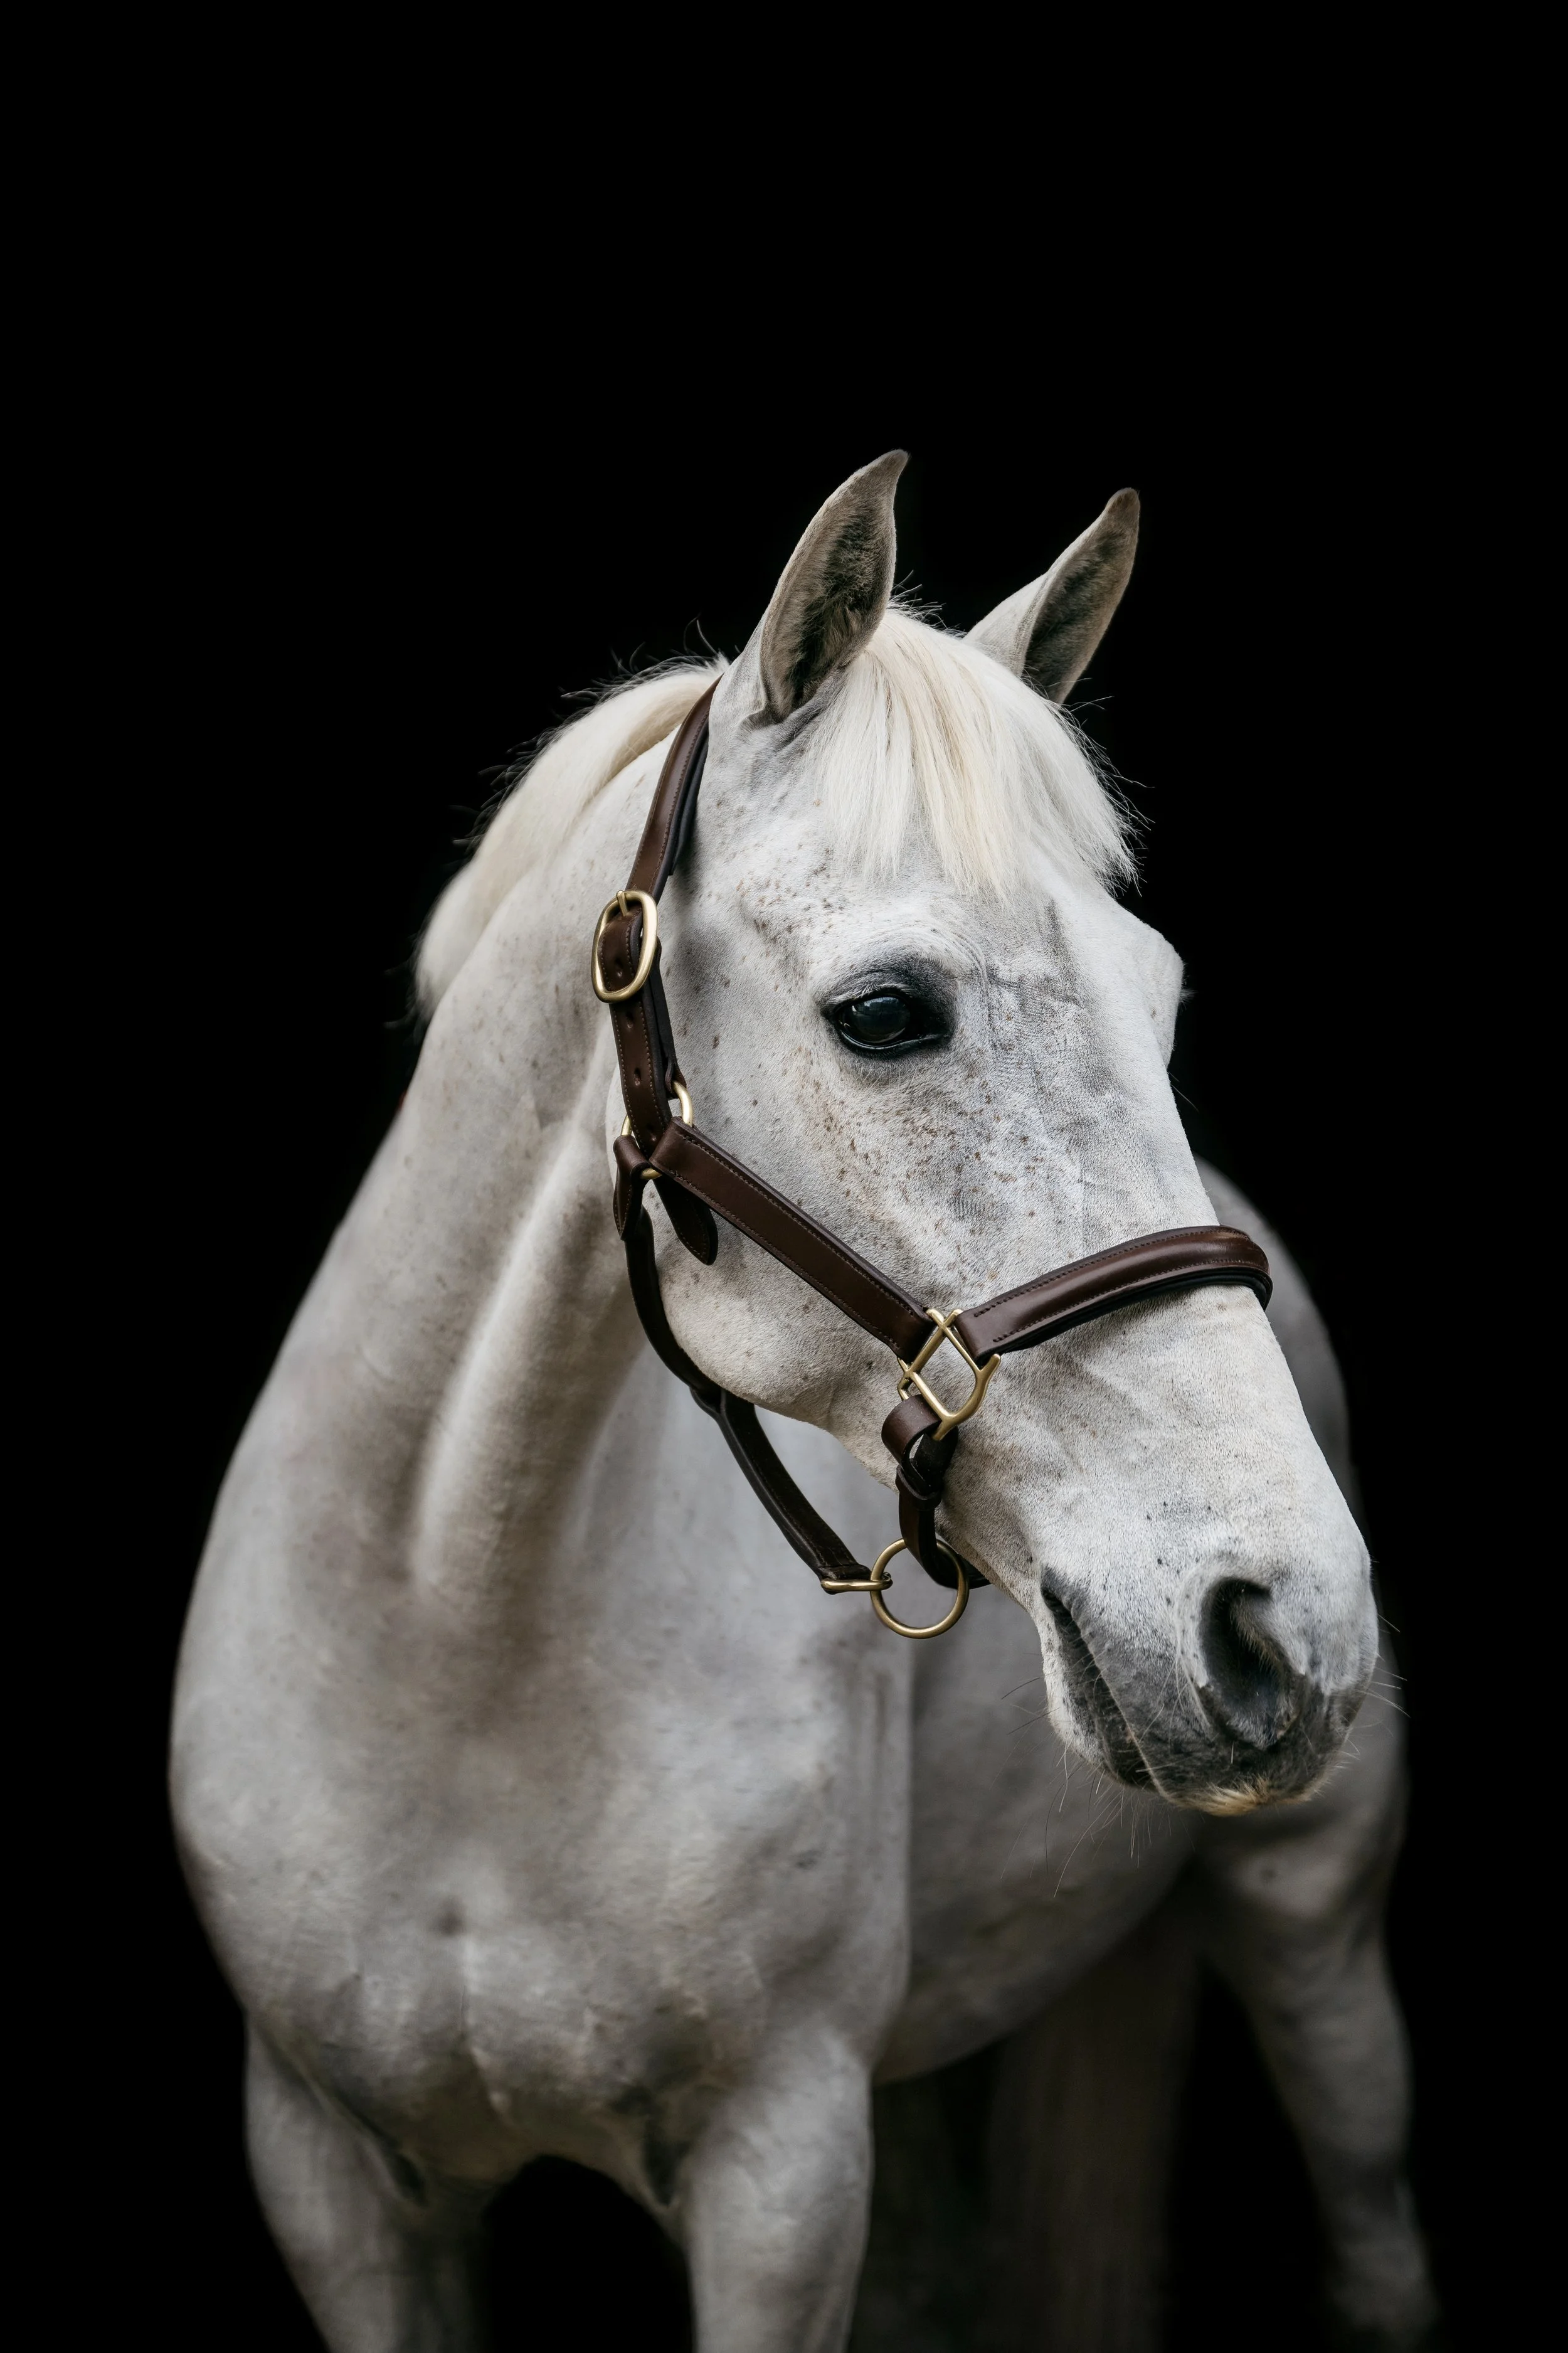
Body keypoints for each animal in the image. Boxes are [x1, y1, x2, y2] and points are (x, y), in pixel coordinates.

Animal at [171, 455, 1437, 2350]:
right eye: (887, 1010)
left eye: (1161, 996)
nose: (1286, 1617)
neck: (455, 1642)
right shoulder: (331, 2173)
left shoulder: (778, 2170)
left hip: (1313, 1928)